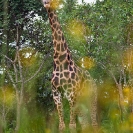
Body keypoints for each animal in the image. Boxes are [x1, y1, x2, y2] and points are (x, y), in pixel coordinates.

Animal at [42, 0, 97, 131]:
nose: (46, 3)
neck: (60, 61)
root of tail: (93, 81)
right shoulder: (56, 93)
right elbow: (61, 125)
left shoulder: (71, 93)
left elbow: (72, 125)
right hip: (82, 104)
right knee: (85, 124)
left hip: (92, 99)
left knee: (94, 123)